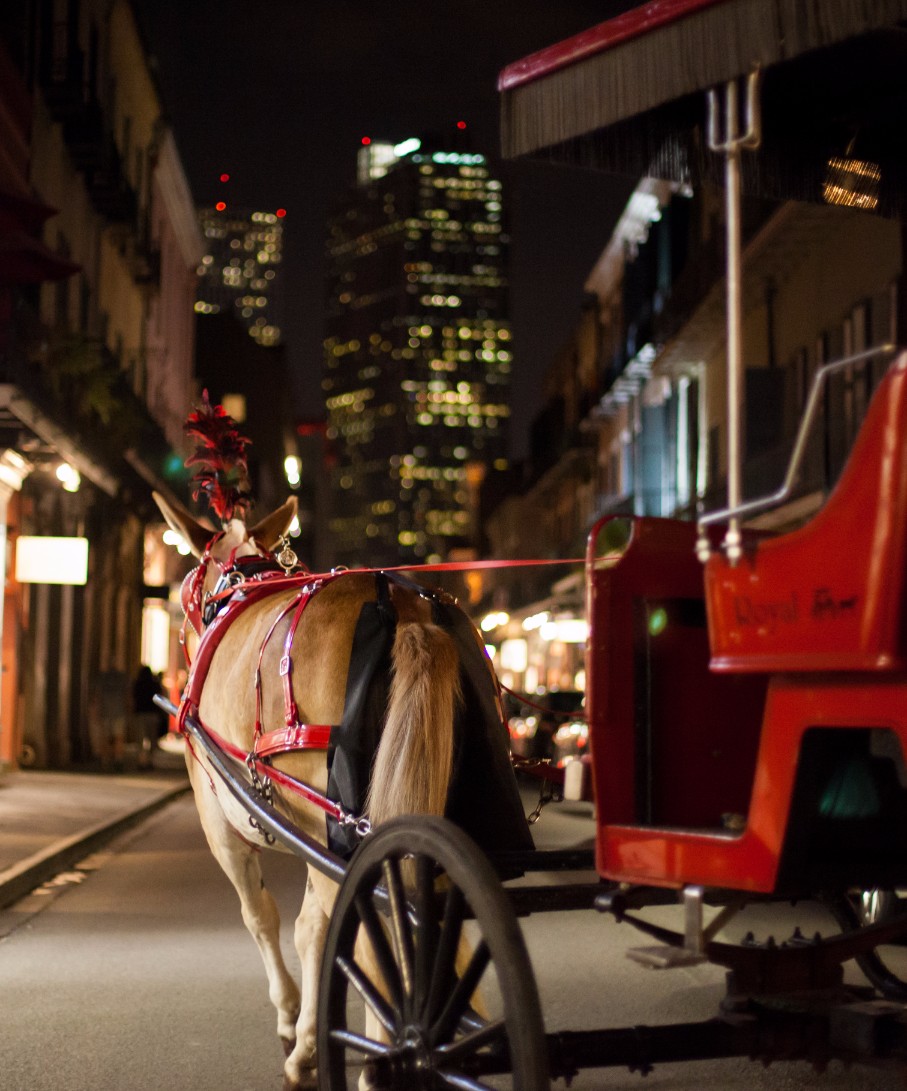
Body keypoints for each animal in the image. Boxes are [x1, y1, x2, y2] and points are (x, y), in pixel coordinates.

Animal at [152, 495, 528, 1091]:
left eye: (187, 586)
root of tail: (403, 607)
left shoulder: (224, 828)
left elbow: (264, 916)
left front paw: (294, 1025)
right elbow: (314, 930)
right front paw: (307, 1034)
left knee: (377, 938)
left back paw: (391, 1057)